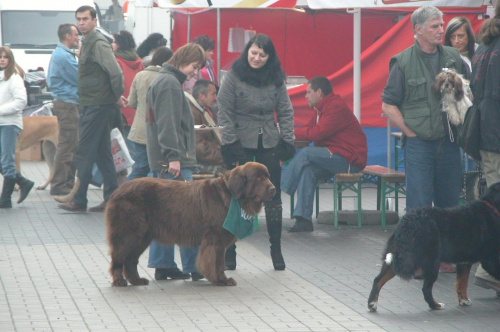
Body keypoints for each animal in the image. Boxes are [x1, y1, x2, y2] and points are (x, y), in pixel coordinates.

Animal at [104, 162, 274, 286]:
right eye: (258, 178)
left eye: (267, 177)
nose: (273, 188)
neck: (231, 195)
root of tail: (117, 191)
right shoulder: (215, 239)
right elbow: (217, 262)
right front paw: (221, 280)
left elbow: (219, 261)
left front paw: (220, 279)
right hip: (129, 234)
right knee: (118, 258)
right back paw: (119, 281)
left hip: (143, 237)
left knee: (131, 260)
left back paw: (136, 280)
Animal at [368, 182, 500, 312]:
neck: (492, 208)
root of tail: (408, 222)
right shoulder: (491, 260)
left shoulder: (464, 261)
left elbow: (462, 282)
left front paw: (463, 300)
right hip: (431, 263)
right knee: (426, 289)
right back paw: (436, 305)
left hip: (397, 258)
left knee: (378, 279)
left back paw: (372, 303)